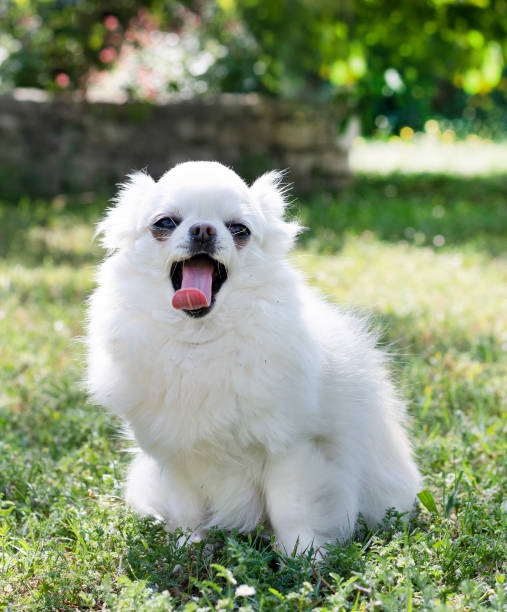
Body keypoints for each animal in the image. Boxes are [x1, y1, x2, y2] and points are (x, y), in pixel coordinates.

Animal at [85, 163, 422, 556]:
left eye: (239, 229)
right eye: (164, 223)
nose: (203, 229)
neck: (201, 340)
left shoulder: (291, 447)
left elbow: (291, 506)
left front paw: (303, 554)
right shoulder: (177, 453)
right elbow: (187, 505)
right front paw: (188, 542)